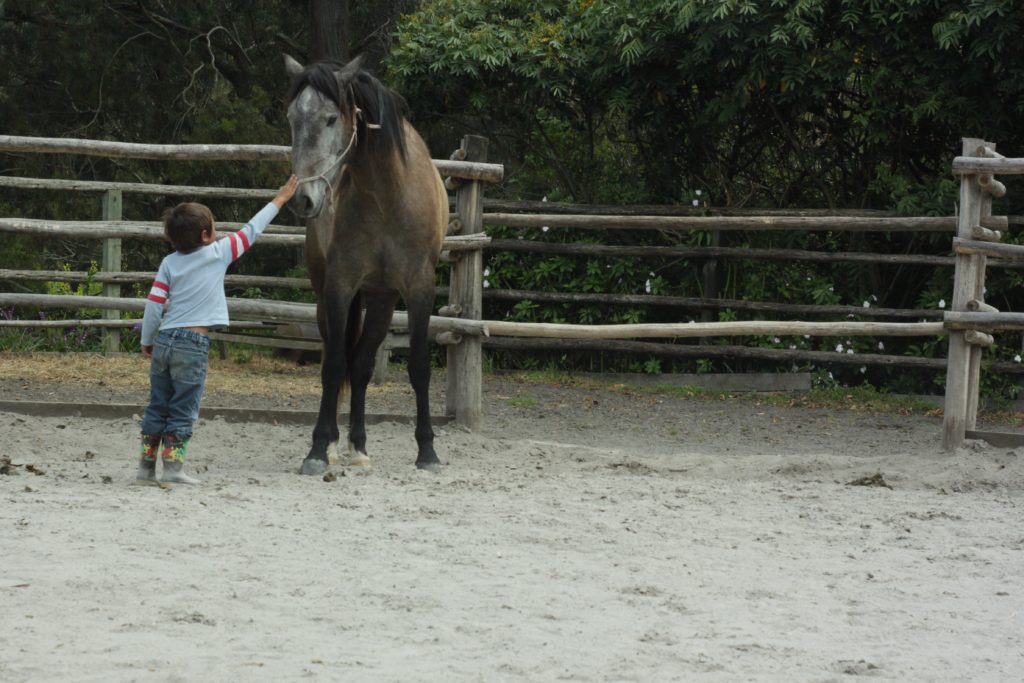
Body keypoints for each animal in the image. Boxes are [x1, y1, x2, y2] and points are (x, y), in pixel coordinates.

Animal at [286, 54, 450, 475]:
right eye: (292, 118)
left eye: (331, 118)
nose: (303, 199)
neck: (387, 196)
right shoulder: (339, 287)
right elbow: (332, 366)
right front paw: (317, 450)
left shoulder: (419, 289)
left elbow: (419, 367)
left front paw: (428, 451)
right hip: (330, 298)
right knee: (338, 358)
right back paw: (332, 444)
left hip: (381, 300)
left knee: (360, 365)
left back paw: (359, 446)